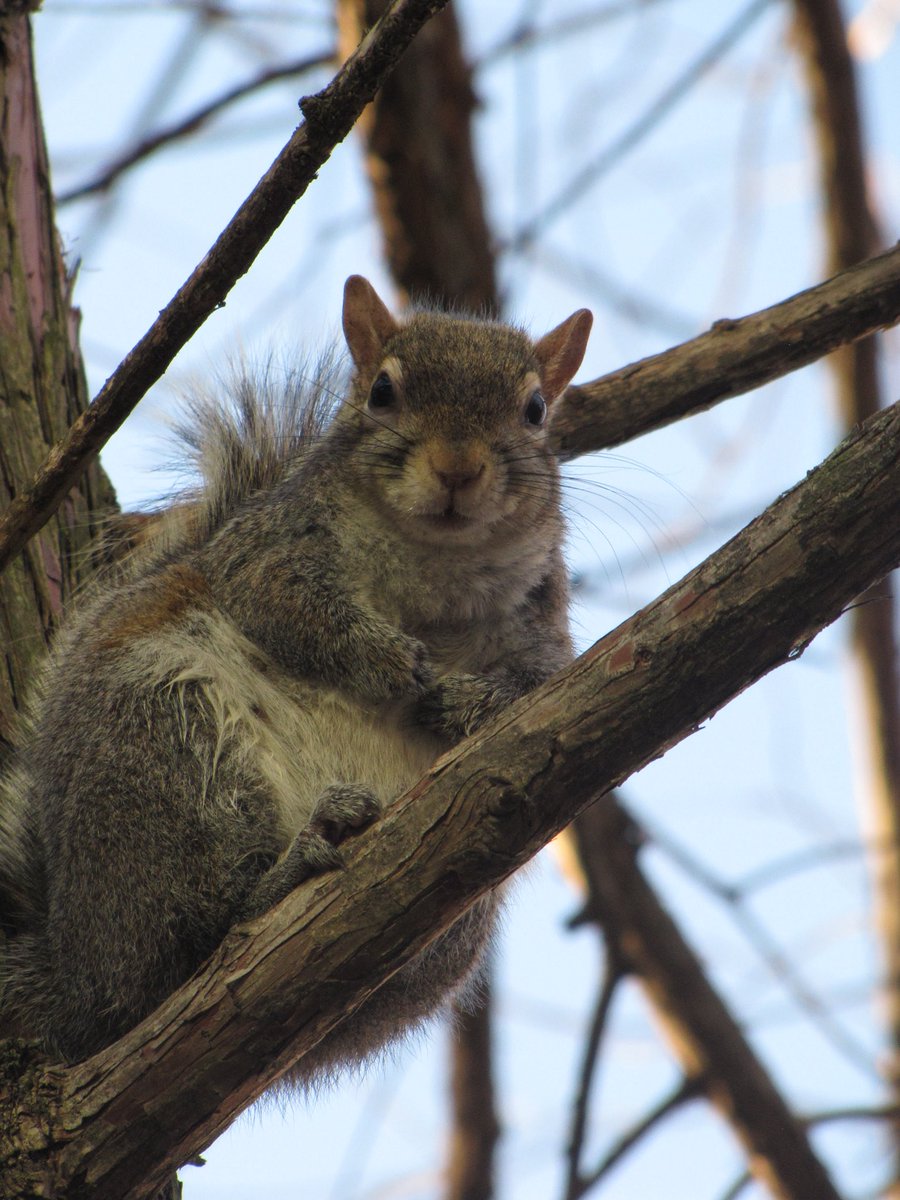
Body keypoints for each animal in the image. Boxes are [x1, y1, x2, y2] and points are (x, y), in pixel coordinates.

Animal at [0, 276, 592, 1075]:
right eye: (382, 391)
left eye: (535, 411)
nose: (458, 469)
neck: (435, 567)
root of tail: (76, 972)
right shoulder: (268, 545)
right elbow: (281, 603)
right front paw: (388, 658)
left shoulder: (543, 622)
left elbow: (542, 683)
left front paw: (467, 699)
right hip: (161, 739)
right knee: (180, 947)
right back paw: (280, 874)